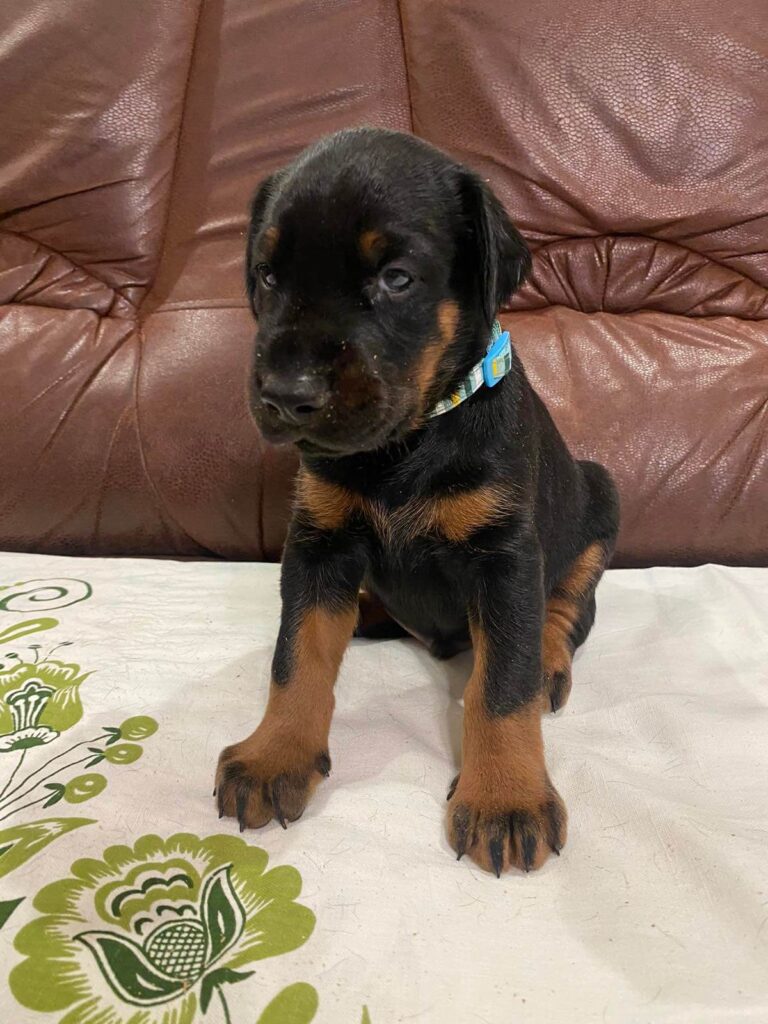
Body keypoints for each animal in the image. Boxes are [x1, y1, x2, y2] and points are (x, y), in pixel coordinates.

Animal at [215, 128, 618, 876]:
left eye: (397, 278)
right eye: (267, 275)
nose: (285, 394)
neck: (406, 445)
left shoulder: (505, 556)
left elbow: (503, 684)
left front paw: (505, 797)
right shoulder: (319, 543)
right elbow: (297, 654)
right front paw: (273, 755)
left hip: (600, 494)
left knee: (569, 608)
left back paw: (550, 656)